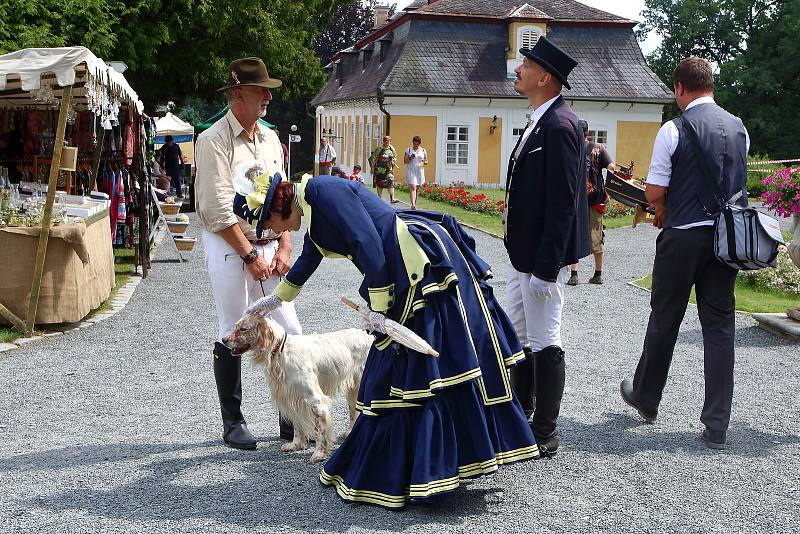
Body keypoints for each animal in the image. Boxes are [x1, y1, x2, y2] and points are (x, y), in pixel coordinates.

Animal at [223, 314, 374, 464]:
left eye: (243, 329)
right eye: (236, 326)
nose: (224, 340)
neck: (281, 351)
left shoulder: (316, 401)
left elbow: (320, 430)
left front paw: (319, 453)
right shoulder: (292, 398)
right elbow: (297, 425)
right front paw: (296, 445)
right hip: (354, 388)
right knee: (354, 410)